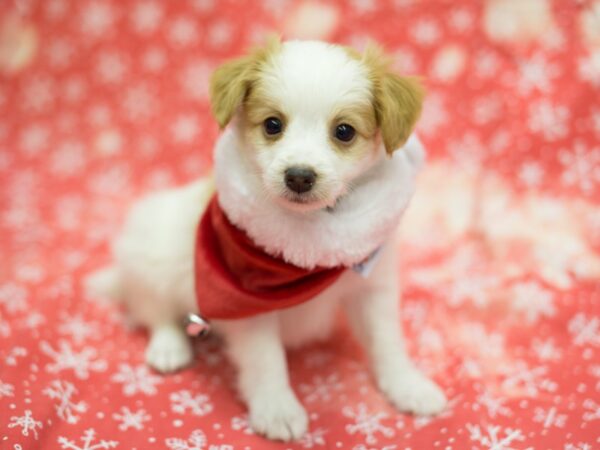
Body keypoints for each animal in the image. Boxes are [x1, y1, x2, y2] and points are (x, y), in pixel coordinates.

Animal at [88, 38, 446, 440]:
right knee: (154, 310)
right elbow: (267, 361)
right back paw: (168, 348)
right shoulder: (248, 305)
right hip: (151, 255)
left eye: (344, 131)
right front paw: (278, 409)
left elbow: (387, 342)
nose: (300, 176)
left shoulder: (373, 286)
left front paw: (408, 386)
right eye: (273, 124)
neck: (310, 241)